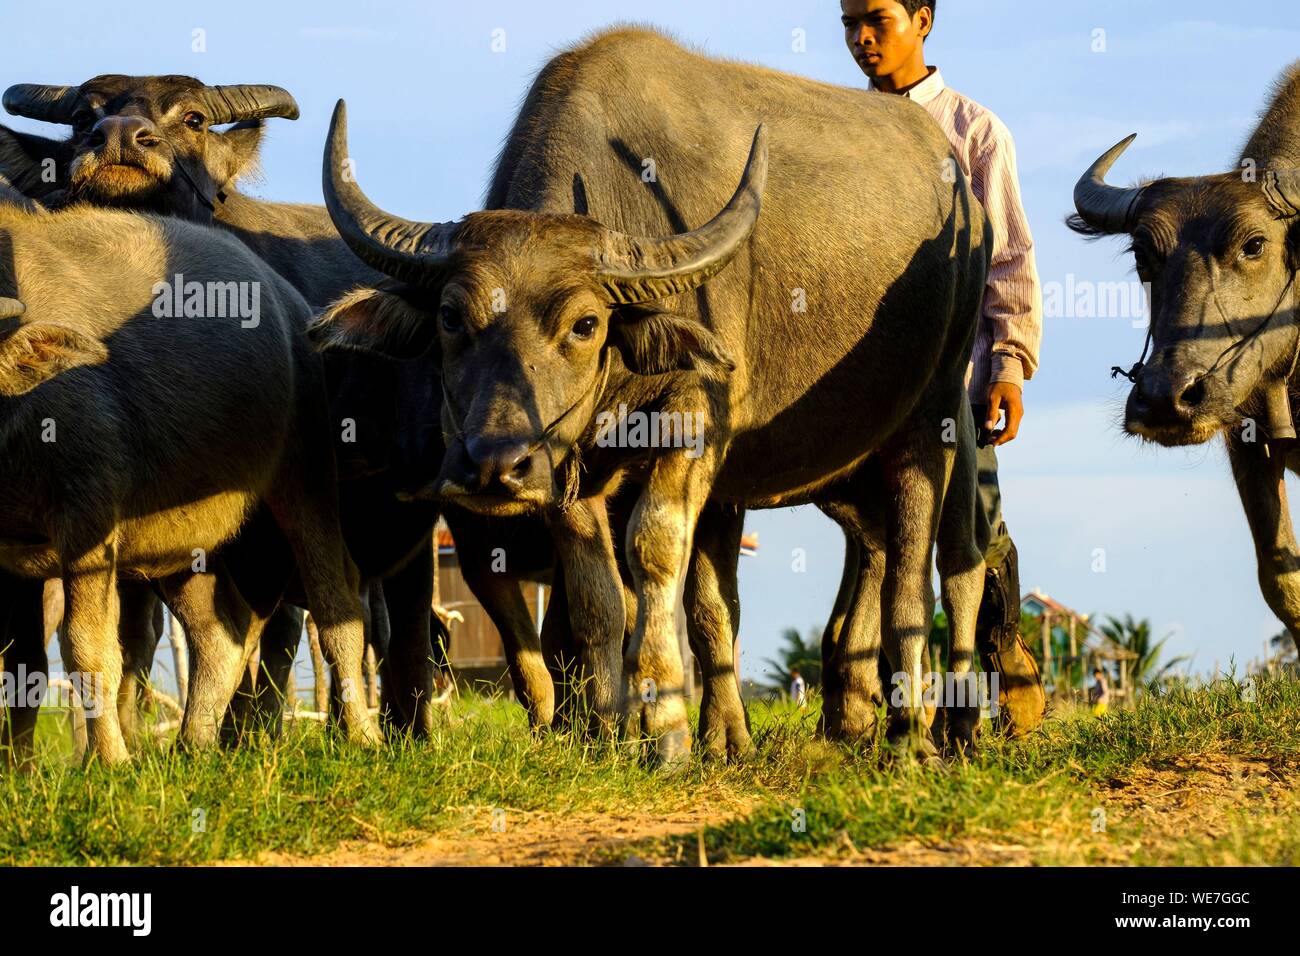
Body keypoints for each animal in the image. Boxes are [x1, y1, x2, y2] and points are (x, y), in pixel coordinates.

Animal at [0, 196, 379, 764]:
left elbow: (89, 649)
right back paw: (193, 744)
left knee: (334, 599)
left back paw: (361, 733)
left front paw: (109, 760)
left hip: (305, 475)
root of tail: (291, 304)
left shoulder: (86, 515)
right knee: (218, 634)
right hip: (181, 540)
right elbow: (19, 661)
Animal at [312, 26, 982, 764]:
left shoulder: (693, 424)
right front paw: (606, 730)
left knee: (928, 573)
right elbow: (599, 595)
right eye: (451, 317)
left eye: (586, 324)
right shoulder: (570, 468)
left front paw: (664, 728)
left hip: (937, 417)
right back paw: (795, 725)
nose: (493, 466)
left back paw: (922, 732)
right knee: (851, 558)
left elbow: (654, 553)